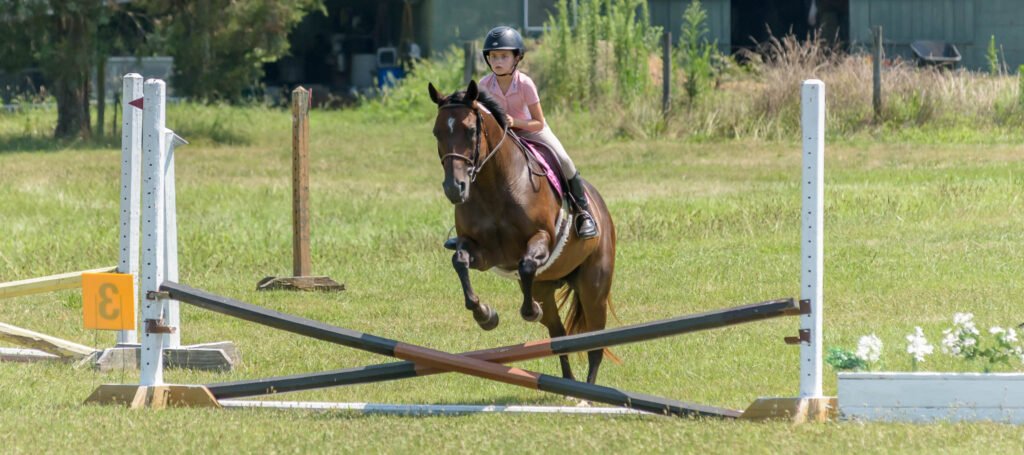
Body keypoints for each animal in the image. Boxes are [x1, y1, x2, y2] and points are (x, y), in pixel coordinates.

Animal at [425, 80, 614, 383]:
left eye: (471, 130)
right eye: (436, 132)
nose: (455, 188)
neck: (494, 186)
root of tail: (601, 207)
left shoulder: (541, 240)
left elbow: (526, 264)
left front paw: (529, 312)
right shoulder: (483, 253)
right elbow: (460, 261)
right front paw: (485, 315)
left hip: (594, 288)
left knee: (595, 343)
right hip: (545, 286)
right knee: (558, 335)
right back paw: (568, 384)